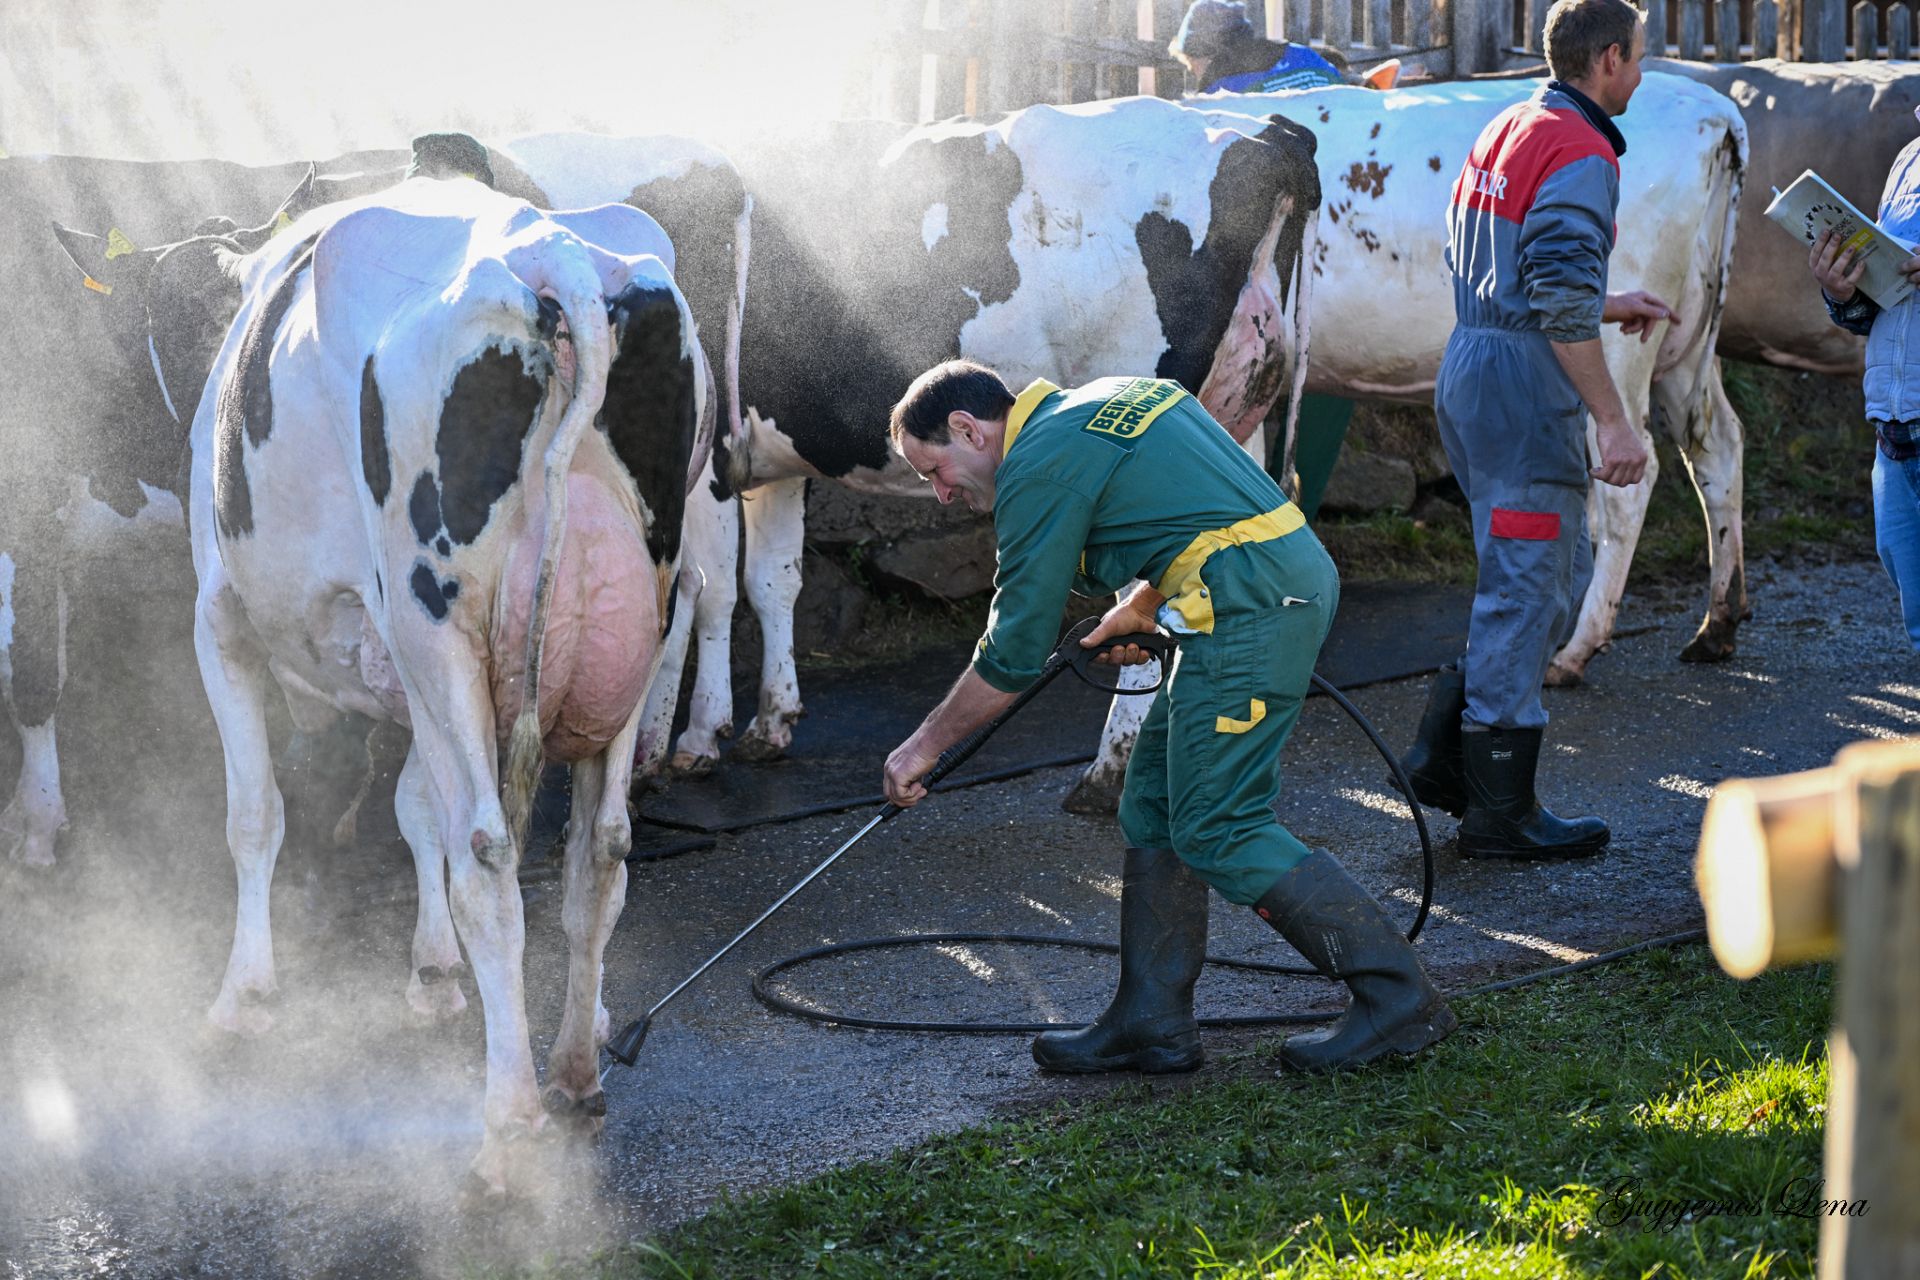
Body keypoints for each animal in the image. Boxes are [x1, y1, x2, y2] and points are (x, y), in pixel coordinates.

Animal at [181, 175, 711, 1195]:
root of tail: (555, 255)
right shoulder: (402, 676)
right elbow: (414, 806)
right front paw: (431, 974)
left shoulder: (220, 617)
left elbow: (254, 815)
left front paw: (244, 997)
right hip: (640, 615)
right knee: (600, 851)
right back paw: (574, 1069)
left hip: (435, 626)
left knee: (490, 860)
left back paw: (507, 1127)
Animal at [628, 96, 1323, 804]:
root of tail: (1267, 135)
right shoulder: (772, 457)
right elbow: (772, 580)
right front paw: (770, 722)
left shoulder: (707, 457)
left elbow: (699, 592)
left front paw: (686, 741)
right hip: (1237, 415)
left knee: (1149, 579)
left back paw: (1108, 770)